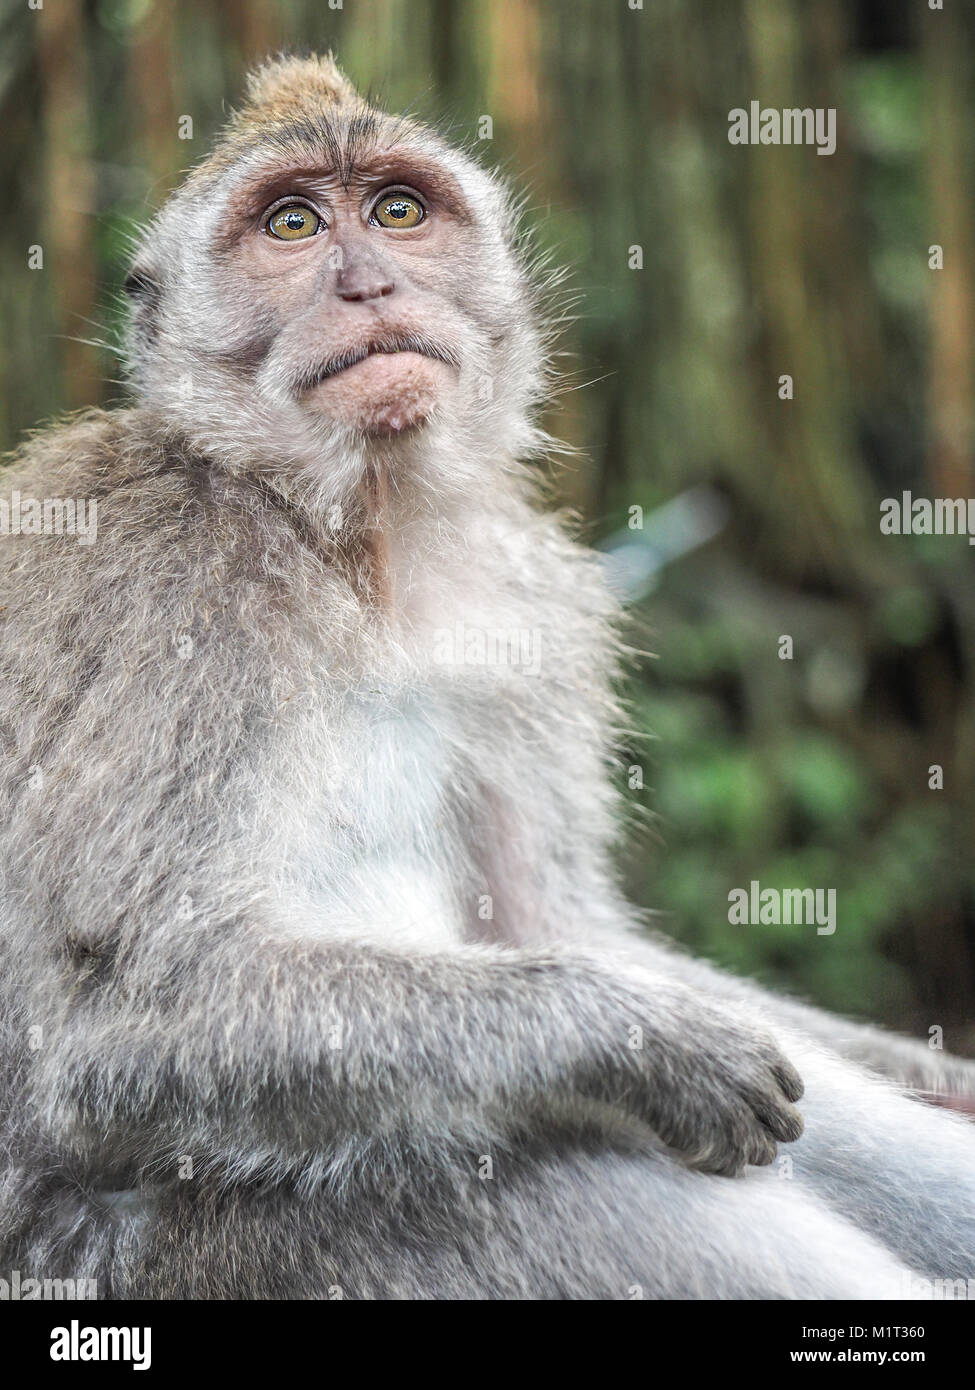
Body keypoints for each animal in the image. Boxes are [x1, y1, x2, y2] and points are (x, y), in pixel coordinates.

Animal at [0, 51, 968, 1289]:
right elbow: (106, 1031)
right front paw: (635, 1036)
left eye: (397, 213)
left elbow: (550, 918)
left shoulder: (525, 605)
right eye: (292, 224)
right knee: (574, 1165)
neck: (348, 541)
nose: (367, 285)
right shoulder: (165, 590)